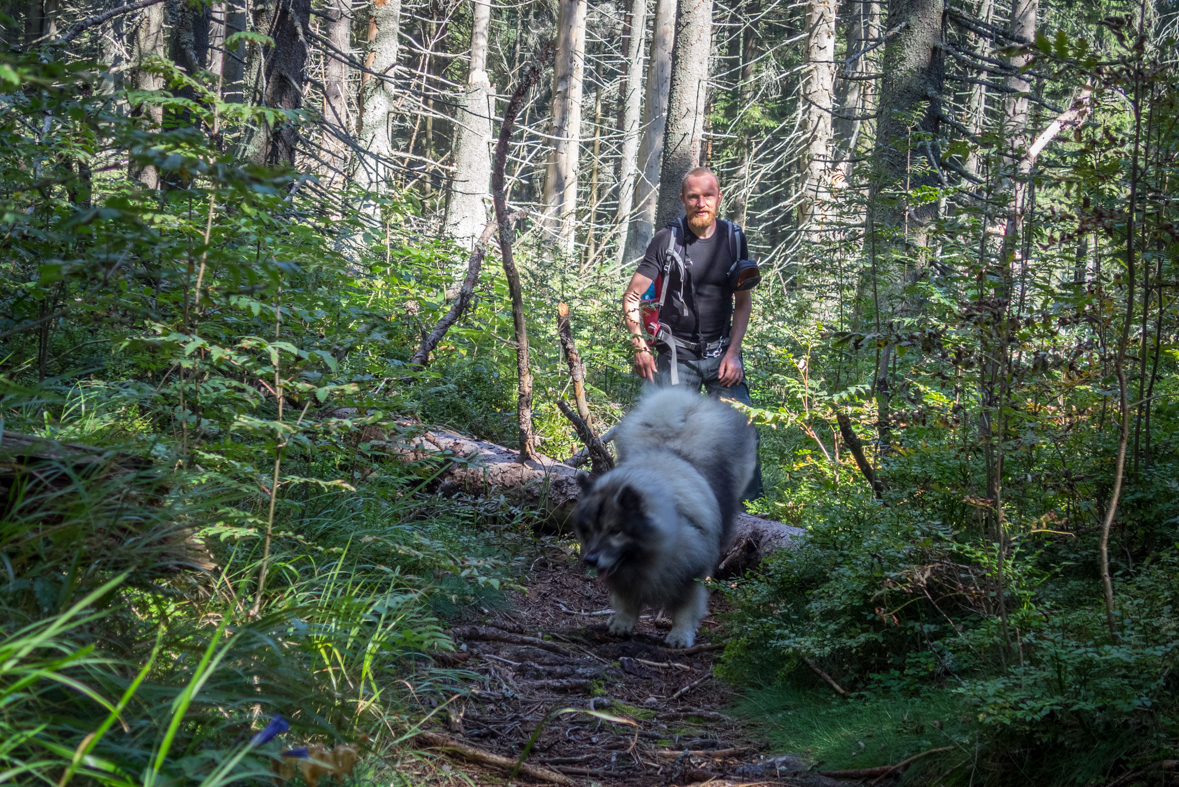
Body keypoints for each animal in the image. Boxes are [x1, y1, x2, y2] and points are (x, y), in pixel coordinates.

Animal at [575, 386, 759, 645]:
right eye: (589, 530)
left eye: (615, 531)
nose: (590, 559)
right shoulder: (625, 578)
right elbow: (626, 600)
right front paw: (622, 622)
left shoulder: (690, 573)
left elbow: (685, 608)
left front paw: (680, 635)